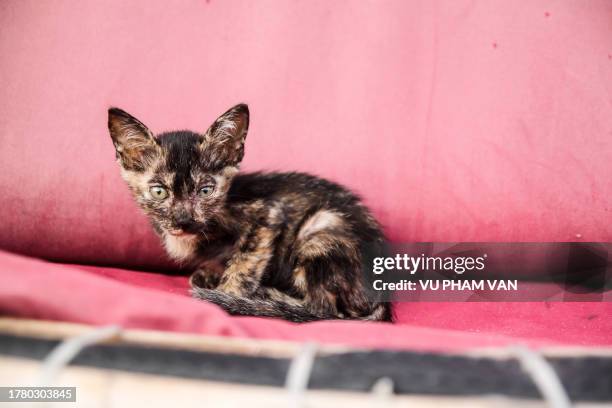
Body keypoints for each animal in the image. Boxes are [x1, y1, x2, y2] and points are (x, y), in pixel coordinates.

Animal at [107, 104, 390, 322]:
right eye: (159, 192)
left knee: (323, 310)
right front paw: (210, 275)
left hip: (321, 227)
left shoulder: (267, 214)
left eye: (206, 190)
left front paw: (227, 294)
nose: (183, 220)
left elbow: (244, 263)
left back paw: (266, 297)